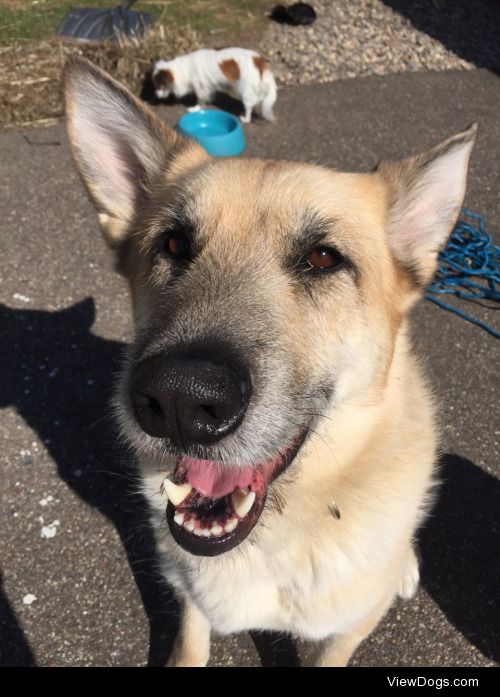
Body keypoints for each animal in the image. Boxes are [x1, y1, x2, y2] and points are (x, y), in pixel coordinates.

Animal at [64, 58, 474, 664]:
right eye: (173, 245)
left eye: (323, 258)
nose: (182, 399)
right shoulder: (192, 599)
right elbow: (190, 642)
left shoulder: (344, 633)